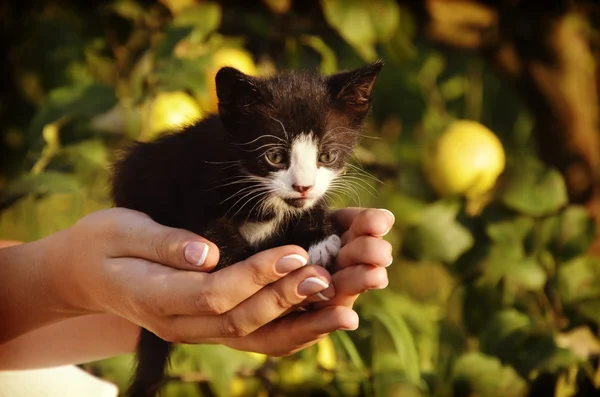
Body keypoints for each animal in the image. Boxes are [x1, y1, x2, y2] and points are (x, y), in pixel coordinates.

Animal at [110, 59, 382, 396]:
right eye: (275, 156)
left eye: (327, 155)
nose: (303, 186)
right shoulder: (196, 187)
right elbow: (213, 232)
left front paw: (318, 237)